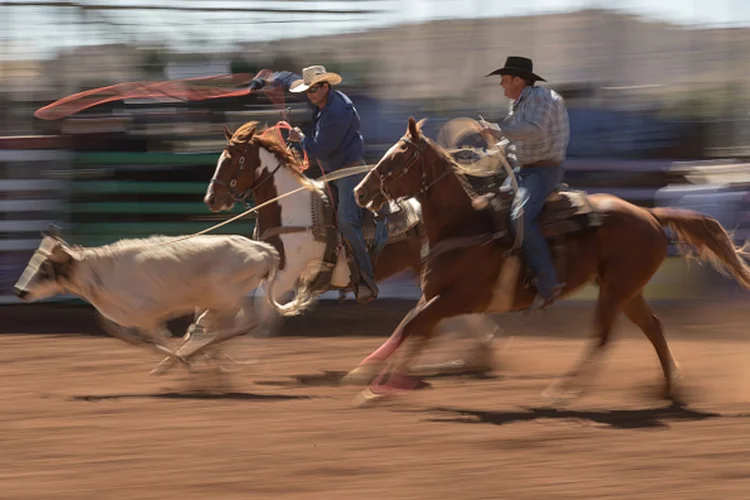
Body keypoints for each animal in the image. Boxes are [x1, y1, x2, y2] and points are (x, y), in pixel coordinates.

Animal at [203, 121, 502, 378]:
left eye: (231, 160)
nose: (211, 199)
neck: (289, 212)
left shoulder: (286, 275)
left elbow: (262, 314)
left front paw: (238, 361)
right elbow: (247, 309)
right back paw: (473, 356)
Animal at [348, 117, 750, 402]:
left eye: (398, 157)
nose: (359, 192)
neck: (464, 225)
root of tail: (649, 214)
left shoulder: (457, 298)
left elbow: (412, 327)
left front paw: (374, 380)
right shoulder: (433, 296)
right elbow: (410, 326)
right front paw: (378, 381)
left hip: (615, 290)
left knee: (602, 336)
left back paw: (564, 390)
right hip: (626, 289)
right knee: (652, 327)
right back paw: (669, 387)